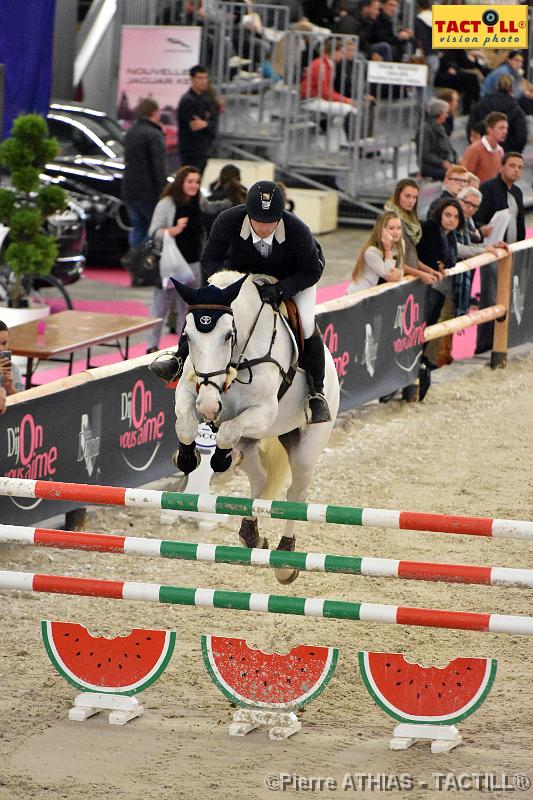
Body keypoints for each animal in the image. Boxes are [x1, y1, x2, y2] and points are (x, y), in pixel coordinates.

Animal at [172, 272, 338, 584]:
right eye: (186, 336)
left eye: (228, 335)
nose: (209, 407)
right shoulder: (190, 392)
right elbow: (186, 425)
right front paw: (187, 458)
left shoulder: (264, 411)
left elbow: (226, 431)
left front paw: (218, 457)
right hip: (254, 444)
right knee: (259, 477)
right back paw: (251, 534)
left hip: (306, 444)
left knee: (296, 494)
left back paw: (285, 559)